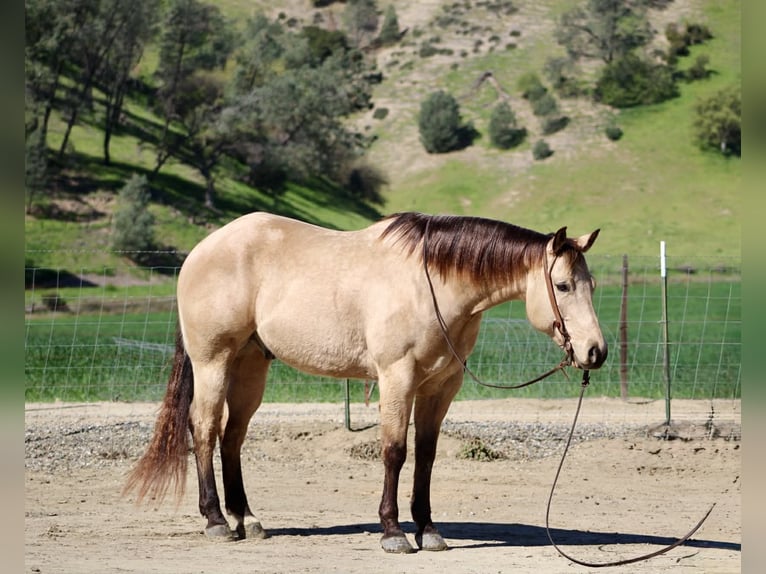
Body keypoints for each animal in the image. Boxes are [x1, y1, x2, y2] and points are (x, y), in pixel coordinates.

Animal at [124, 211, 607, 554]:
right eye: (562, 285)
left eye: (592, 284)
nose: (595, 352)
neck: (432, 284)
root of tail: (200, 251)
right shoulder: (397, 378)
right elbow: (394, 452)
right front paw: (393, 532)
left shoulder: (440, 388)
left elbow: (426, 457)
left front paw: (428, 530)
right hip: (213, 362)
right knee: (205, 429)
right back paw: (216, 522)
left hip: (250, 366)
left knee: (232, 437)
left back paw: (247, 520)